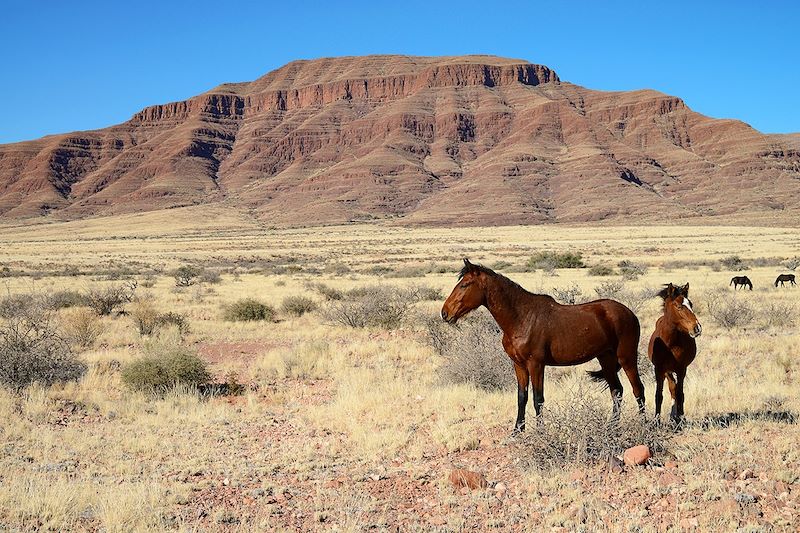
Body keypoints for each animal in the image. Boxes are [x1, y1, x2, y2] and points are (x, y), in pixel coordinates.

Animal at [440, 258, 648, 432]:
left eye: (465, 284)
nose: (444, 313)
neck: (521, 317)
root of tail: (630, 313)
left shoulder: (536, 365)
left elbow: (537, 399)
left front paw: (540, 432)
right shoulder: (519, 365)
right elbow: (522, 397)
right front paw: (517, 431)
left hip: (626, 358)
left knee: (638, 389)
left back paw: (645, 426)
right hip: (605, 358)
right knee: (617, 391)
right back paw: (611, 427)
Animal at [648, 282, 704, 424]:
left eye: (691, 304)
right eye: (679, 306)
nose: (697, 328)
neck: (670, 343)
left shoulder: (681, 369)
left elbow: (680, 394)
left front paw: (680, 418)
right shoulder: (659, 369)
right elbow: (659, 395)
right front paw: (656, 421)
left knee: (676, 391)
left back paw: (676, 416)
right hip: (667, 371)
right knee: (672, 387)